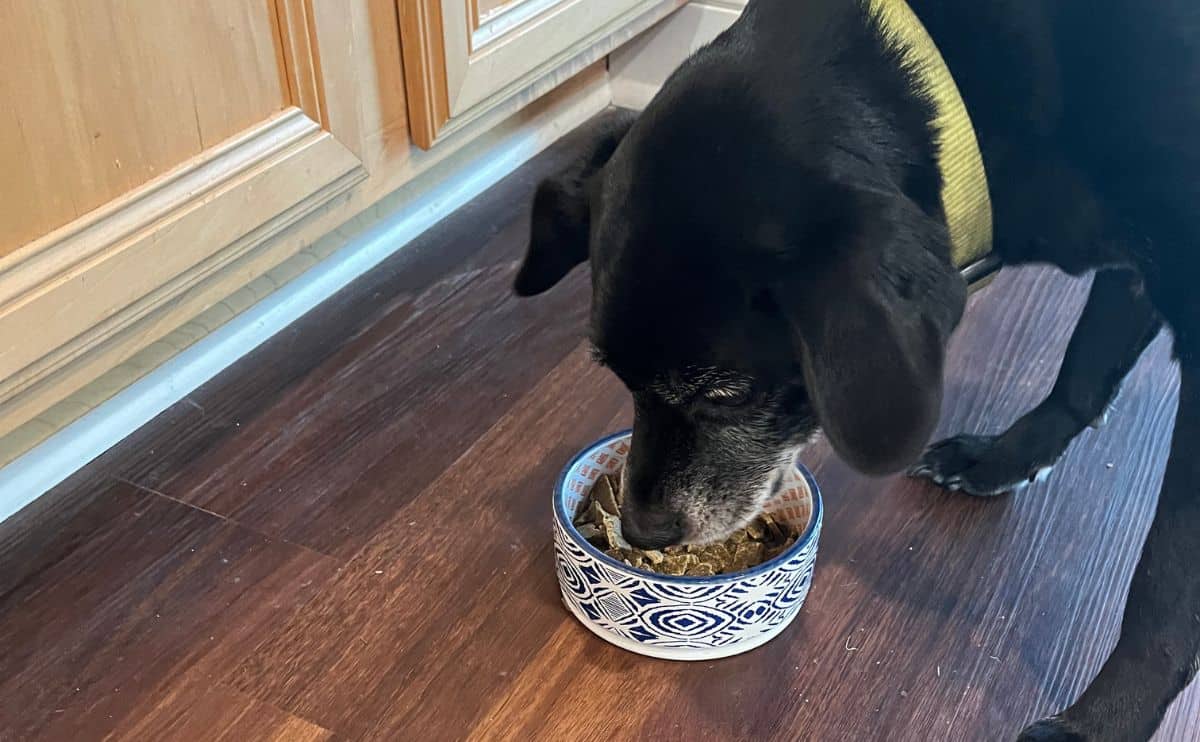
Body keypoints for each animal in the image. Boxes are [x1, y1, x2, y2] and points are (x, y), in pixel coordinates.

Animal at [511, 2, 1195, 734]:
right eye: (619, 381)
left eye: (724, 395)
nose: (641, 530)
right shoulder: (1133, 267)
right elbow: (1083, 375)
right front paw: (1002, 459)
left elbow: (1164, 588)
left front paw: (1101, 723)